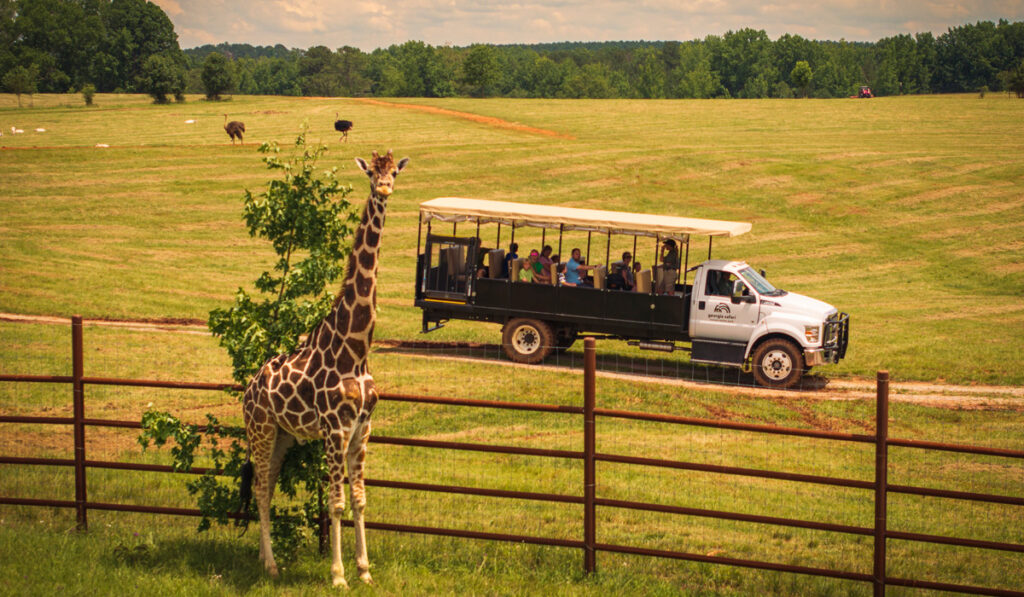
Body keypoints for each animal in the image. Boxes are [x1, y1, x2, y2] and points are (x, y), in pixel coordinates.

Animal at [242, 150, 409, 588]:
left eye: (394, 171)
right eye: (371, 173)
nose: (384, 188)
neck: (355, 348)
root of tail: (248, 389)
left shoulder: (362, 429)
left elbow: (360, 500)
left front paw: (365, 571)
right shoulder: (335, 429)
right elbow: (335, 504)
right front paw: (338, 576)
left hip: (284, 435)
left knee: (267, 485)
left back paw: (265, 560)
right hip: (260, 428)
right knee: (261, 489)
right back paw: (271, 565)